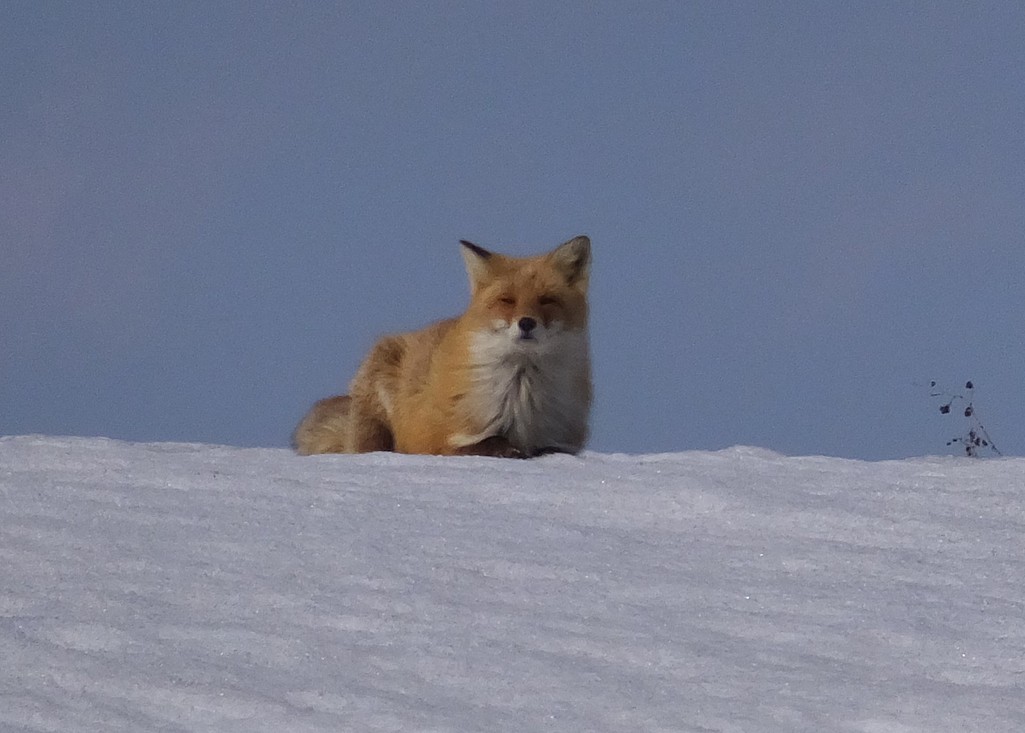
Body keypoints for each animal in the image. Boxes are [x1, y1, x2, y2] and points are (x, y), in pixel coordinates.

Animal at [293, 235, 592, 458]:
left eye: (546, 300)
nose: (526, 323)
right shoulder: (438, 438)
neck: (521, 395)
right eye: (507, 300)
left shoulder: (563, 441)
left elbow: (549, 449)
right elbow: (487, 444)